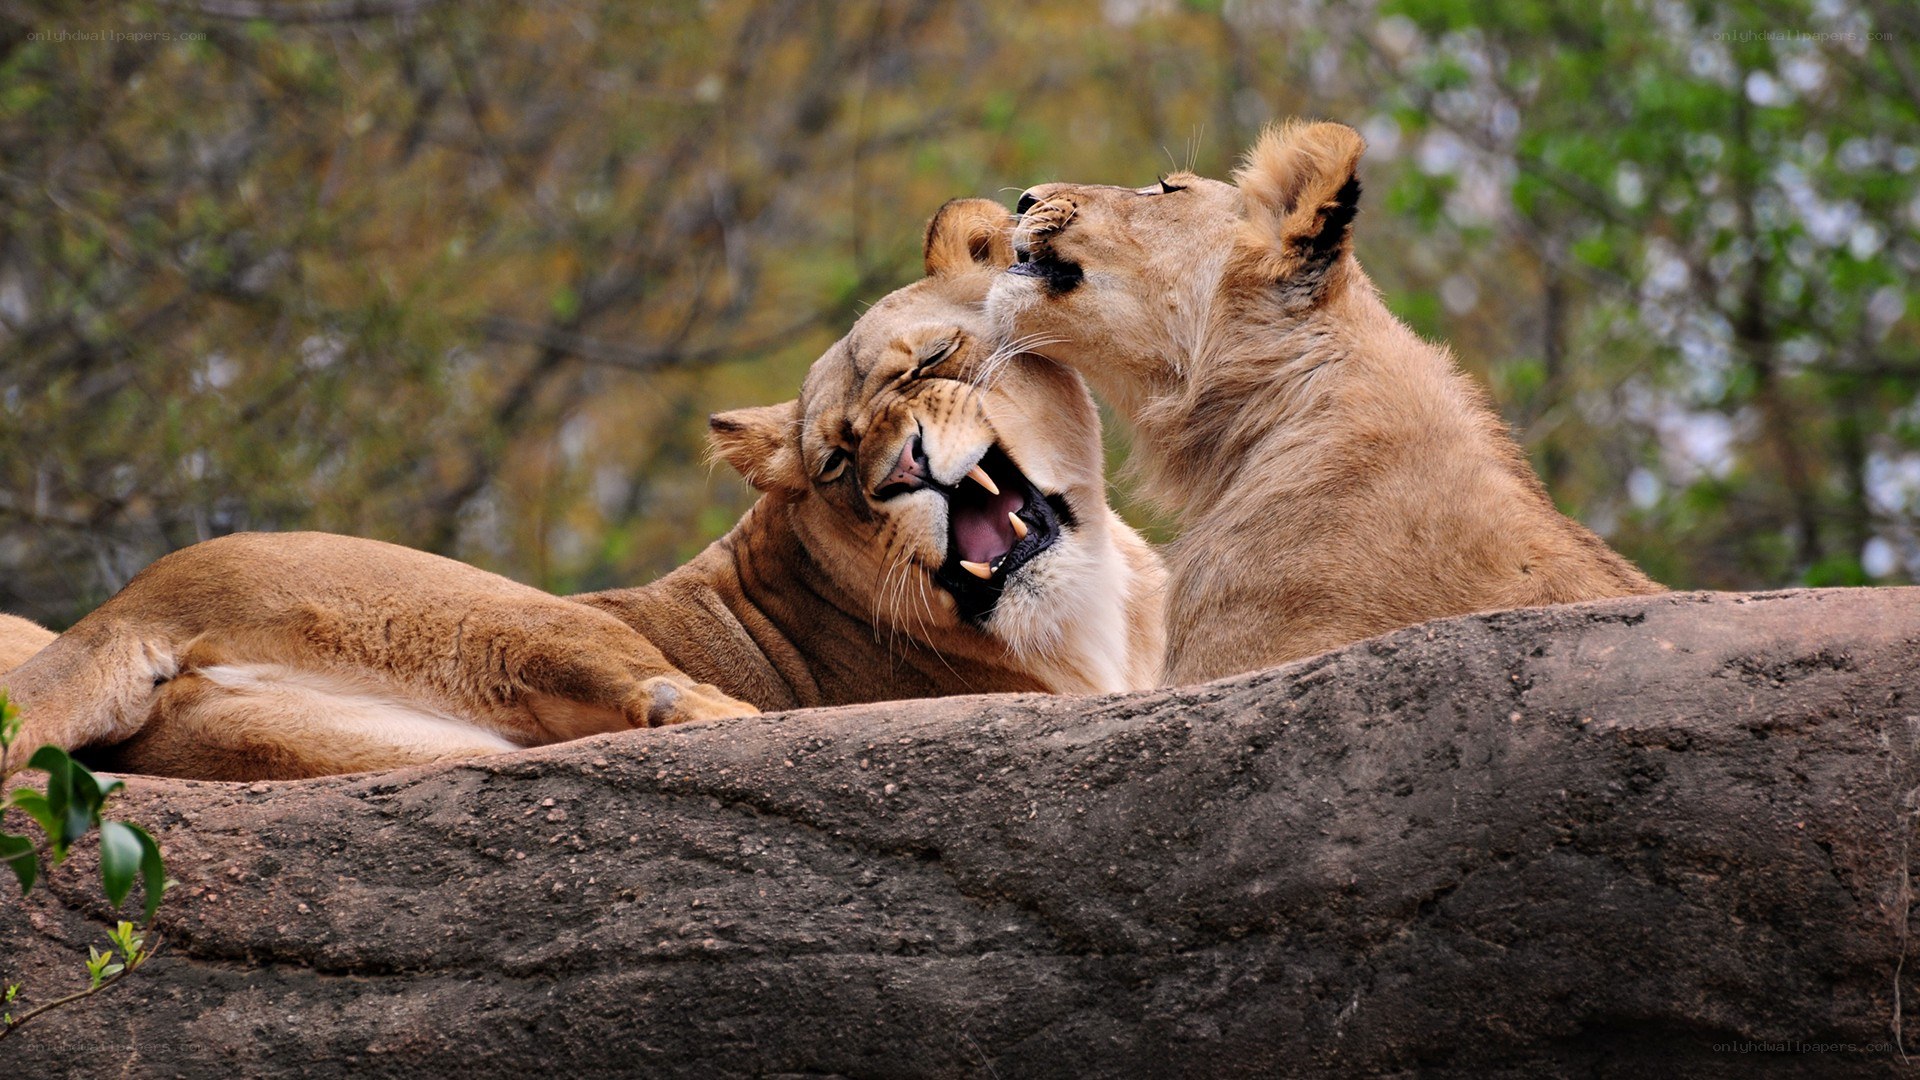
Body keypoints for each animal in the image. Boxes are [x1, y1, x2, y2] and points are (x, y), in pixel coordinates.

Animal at [2, 199, 1165, 781]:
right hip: (492, 604)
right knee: (663, 698)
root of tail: (131, 607)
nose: (902, 470)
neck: (1098, 601)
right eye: (837, 463)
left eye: (927, 363)